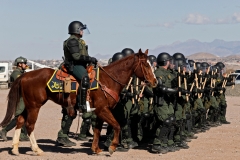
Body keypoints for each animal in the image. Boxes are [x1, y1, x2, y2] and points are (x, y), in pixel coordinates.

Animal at [0, 49, 158, 156]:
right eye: (146, 65)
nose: (155, 82)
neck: (108, 80)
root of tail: (24, 76)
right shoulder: (103, 109)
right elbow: (117, 125)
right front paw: (112, 147)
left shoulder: (99, 111)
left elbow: (97, 129)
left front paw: (96, 149)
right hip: (34, 106)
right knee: (29, 125)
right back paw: (37, 149)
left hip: (28, 105)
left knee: (20, 121)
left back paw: (15, 148)